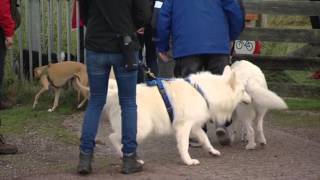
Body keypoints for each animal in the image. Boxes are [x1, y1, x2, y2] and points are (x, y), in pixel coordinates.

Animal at [102, 66, 252, 166]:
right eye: (243, 90)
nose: (251, 99)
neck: (203, 92)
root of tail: (115, 95)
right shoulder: (183, 127)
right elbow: (184, 145)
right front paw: (188, 161)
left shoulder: (194, 126)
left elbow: (205, 138)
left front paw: (212, 151)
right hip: (141, 129)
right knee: (112, 137)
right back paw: (125, 157)